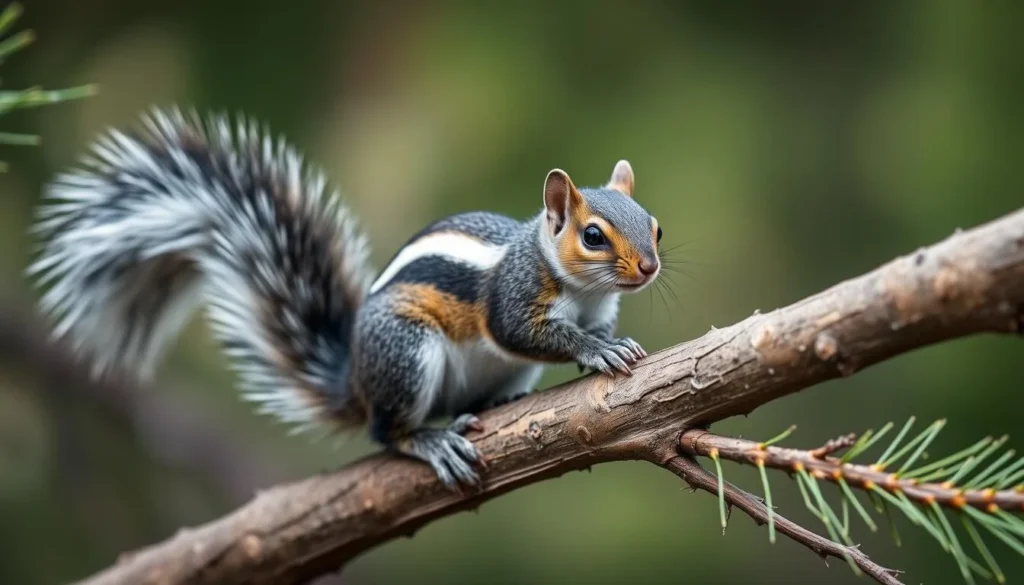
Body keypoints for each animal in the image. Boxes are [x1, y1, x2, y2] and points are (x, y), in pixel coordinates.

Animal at [29, 107, 663, 489]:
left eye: (655, 227)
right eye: (592, 236)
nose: (649, 268)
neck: (581, 290)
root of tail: (355, 380)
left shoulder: (598, 306)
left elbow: (595, 327)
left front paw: (609, 342)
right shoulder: (513, 296)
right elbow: (523, 332)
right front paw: (593, 350)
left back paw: (497, 403)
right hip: (405, 351)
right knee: (386, 432)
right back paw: (427, 440)